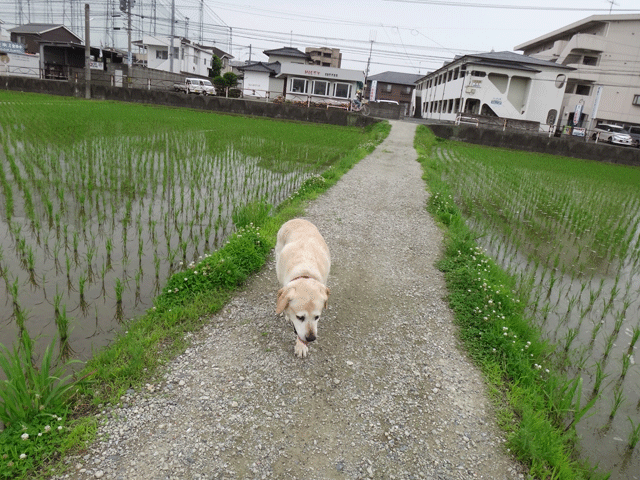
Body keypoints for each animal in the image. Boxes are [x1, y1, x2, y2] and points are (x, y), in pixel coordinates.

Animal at [274, 218, 330, 356]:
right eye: (300, 317)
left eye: (317, 317)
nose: (311, 338)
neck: (305, 273)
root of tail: (297, 219)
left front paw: (301, 346)